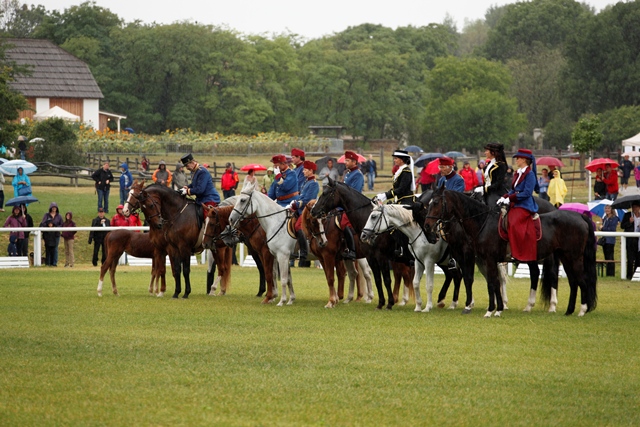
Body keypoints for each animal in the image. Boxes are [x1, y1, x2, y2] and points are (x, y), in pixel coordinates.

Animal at [312, 178, 412, 310]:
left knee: (405, 275)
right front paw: (380, 303)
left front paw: (389, 303)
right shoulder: (370, 257)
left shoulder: (382, 257)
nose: (313, 210)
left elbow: (386, 279)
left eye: (325, 193)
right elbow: (377, 279)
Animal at [422, 189, 596, 316]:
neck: (484, 221)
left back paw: (578, 310)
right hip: (565, 258)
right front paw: (496, 308)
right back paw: (567, 310)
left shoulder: (483, 258)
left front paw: (490, 310)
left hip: (571, 258)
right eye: (427, 204)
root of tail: (580, 216)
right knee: (571, 281)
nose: (427, 225)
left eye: (436, 203)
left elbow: (489, 281)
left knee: (577, 280)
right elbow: (492, 282)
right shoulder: (485, 260)